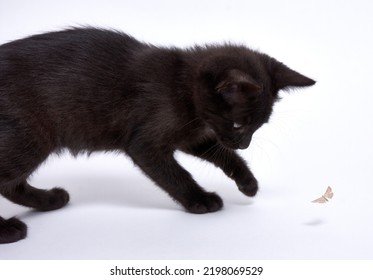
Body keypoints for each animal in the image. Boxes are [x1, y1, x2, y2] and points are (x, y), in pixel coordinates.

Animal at [0, 28, 314, 243]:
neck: (180, 85)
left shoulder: (194, 135)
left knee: (12, 184)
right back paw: (8, 230)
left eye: (258, 125)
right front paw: (200, 200)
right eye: (239, 124)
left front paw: (248, 183)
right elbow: (176, 174)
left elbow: (224, 154)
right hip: (30, 137)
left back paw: (50, 200)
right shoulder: (146, 143)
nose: (245, 143)